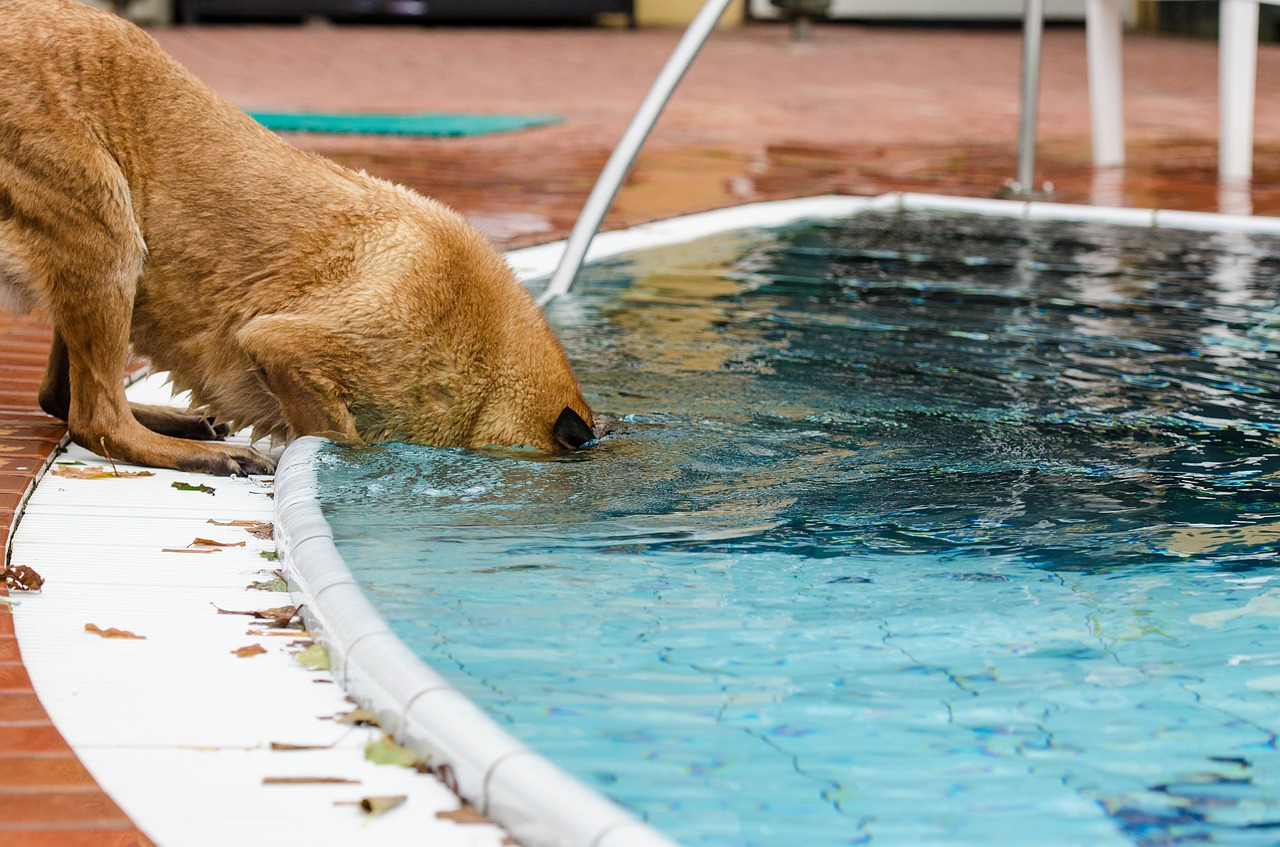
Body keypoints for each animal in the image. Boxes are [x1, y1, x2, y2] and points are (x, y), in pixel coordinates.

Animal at [0, 0, 593, 478]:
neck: (491, 365)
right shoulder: (285, 346)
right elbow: (341, 438)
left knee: (60, 398)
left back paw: (182, 423)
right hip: (110, 234)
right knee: (94, 417)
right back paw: (205, 453)